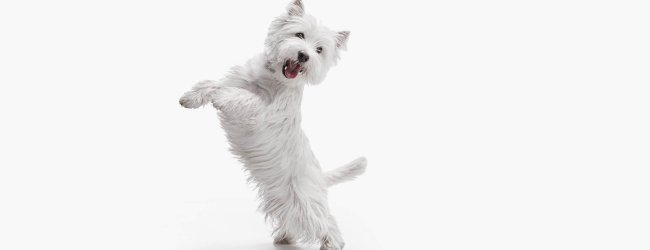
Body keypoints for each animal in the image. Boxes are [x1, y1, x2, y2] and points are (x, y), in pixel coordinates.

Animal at [178, 0, 364, 249]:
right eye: (299, 34)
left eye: (319, 50)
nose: (303, 56)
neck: (273, 78)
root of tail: (320, 176)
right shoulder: (237, 80)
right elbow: (212, 84)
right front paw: (190, 98)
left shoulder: (262, 113)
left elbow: (240, 95)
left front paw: (219, 98)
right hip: (282, 198)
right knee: (292, 219)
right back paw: (285, 237)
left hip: (305, 200)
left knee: (325, 222)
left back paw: (331, 243)